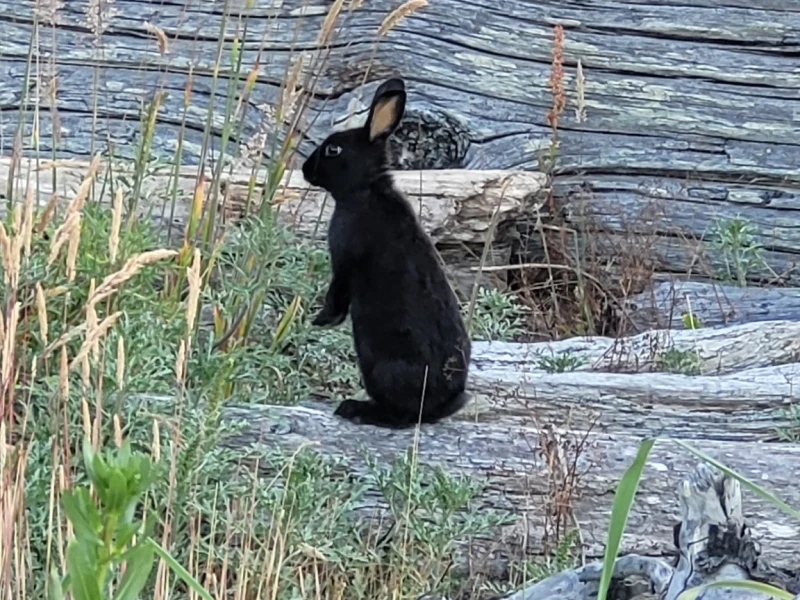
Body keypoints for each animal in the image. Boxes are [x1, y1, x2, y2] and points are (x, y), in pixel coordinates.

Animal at [302, 77, 471, 429]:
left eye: (333, 149)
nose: (304, 169)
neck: (365, 192)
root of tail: (440, 404)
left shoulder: (344, 261)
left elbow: (337, 293)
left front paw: (321, 321)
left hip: (380, 368)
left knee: (400, 416)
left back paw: (355, 408)